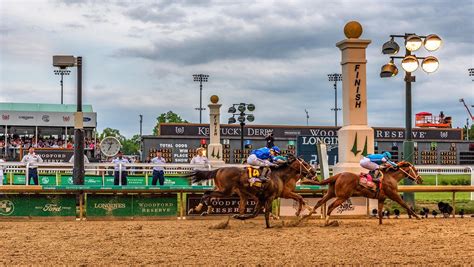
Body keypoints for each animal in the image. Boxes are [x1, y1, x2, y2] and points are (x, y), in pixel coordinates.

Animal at [187, 156, 316, 229]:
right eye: (305, 164)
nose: (314, 172)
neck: (280, 176)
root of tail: (219, 169)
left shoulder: (267, 197)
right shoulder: (271, 197)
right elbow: (265, 212)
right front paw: (269, 225)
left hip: (223, 190)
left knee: (209, 195)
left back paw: (201, 209)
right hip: (226, 191)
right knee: (208, 194)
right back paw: (200, 208)